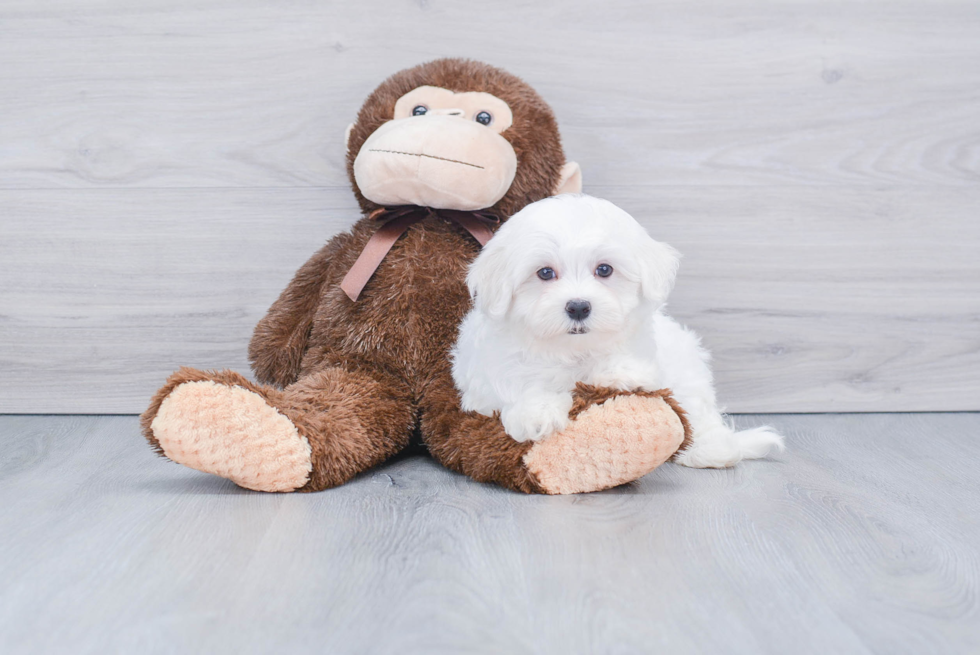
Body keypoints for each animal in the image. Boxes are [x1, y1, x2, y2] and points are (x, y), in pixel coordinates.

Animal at [454, 192, 788, 468]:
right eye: (545, 273)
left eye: (604, 269)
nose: (578, 306)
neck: (572, 351)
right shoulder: (485, 379)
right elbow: (515, 383)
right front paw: (536, 412)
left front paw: (619, 373)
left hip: (688, 368)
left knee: (697, 410)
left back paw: (712, 450)